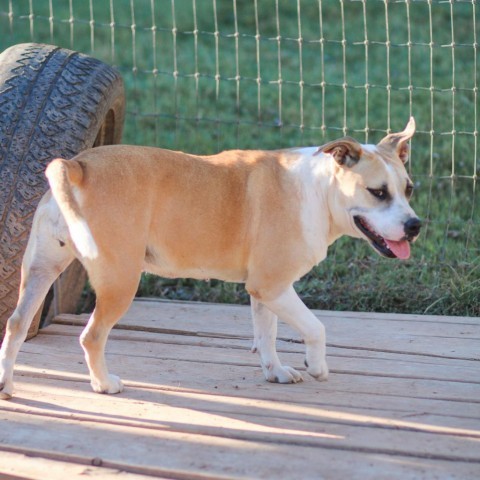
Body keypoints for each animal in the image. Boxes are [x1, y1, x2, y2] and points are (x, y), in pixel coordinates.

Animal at [0, 117, 420, 398]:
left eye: (409, 189)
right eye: (377, 192)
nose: (415, 226)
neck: (318, 190)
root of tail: (77, 165)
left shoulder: (266, 291)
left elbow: (266, 335)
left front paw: (275, 371)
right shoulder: (273, 286)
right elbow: (316, 327)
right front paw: (316, 366)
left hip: (40, 271)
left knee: (16, 324)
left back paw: (6, 385)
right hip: (120, 282)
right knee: (91, 337)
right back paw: (104, 384)